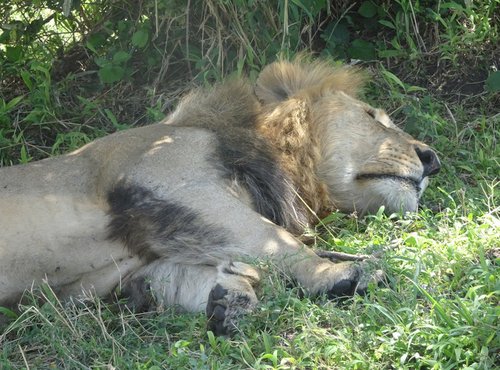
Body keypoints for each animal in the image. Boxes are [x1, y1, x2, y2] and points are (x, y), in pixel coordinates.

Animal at [0, 57, 440, 336]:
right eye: (371, 116)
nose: (432, 160)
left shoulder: (147, 261)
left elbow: (185, 280)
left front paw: (230, 298)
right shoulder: (171, 179)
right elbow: (279, 241)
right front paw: (342, 274)